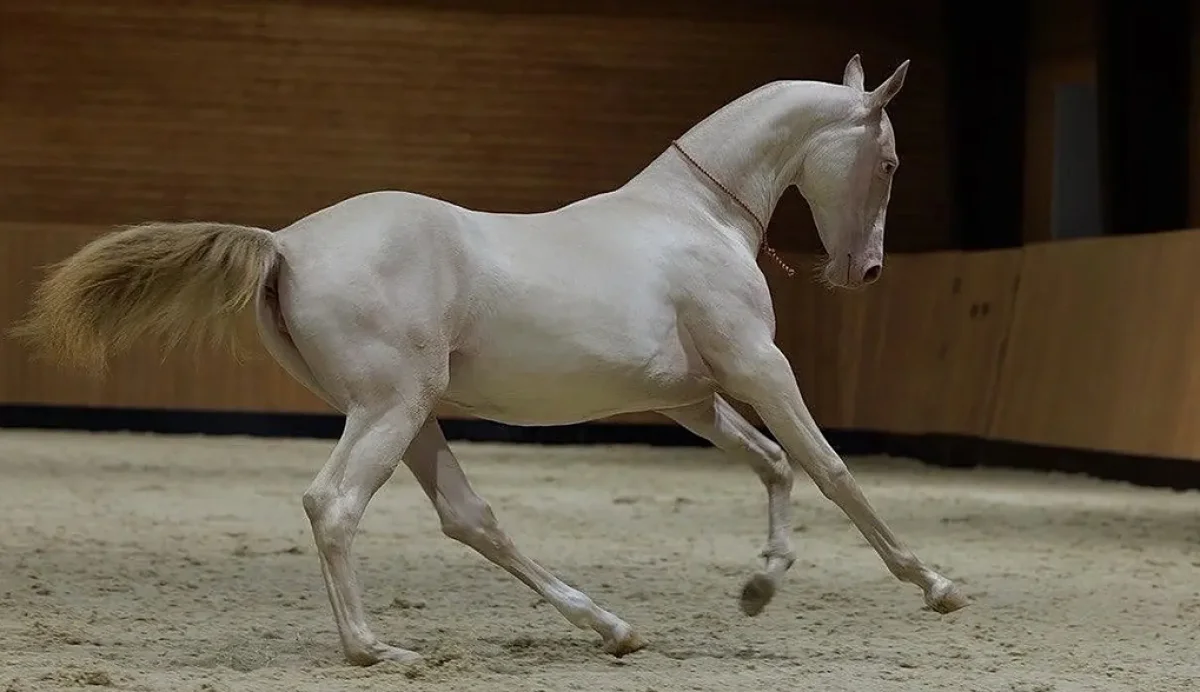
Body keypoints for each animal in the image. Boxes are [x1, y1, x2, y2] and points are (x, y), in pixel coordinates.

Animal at [12, 54, 967, 666]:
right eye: (888, 160)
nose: (863, 271)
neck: (696, 219)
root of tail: (285, 243)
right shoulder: (758, 367)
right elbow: (830, 468)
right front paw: (934, 584)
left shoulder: (694, 399)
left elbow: (773, 464)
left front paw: (760, 588)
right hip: (392, 409)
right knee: (335, 505)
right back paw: (376, 650)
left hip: (413, 417)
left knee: (469, 519)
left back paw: (610, 628)